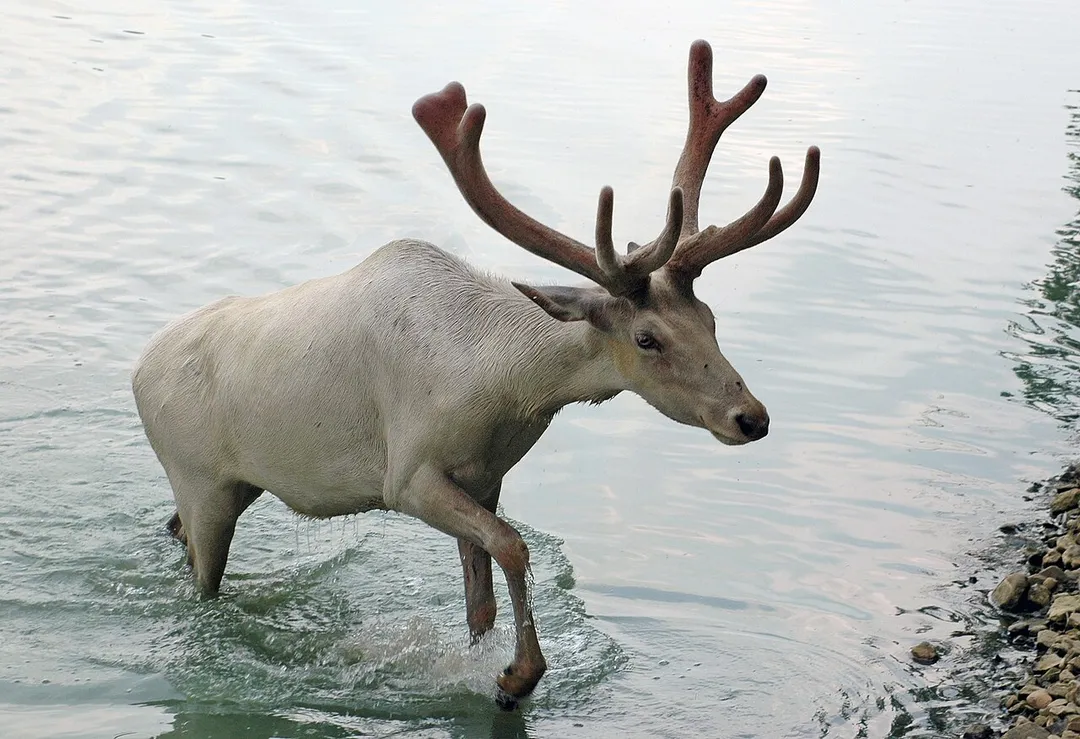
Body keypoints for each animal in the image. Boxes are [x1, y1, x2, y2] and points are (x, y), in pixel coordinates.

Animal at [131, 40, 819, 709]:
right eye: (647, 339)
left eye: (710, 318)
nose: (750, 416)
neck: (498, 391)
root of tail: (137, 370)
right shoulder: (407, 477)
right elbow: (514, 546)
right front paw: (516, 675)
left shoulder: (485, 477)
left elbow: (481, 599)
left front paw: (495, 661)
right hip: (198, 478)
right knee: (202, 573)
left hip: (234, 484)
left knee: (176, 528)